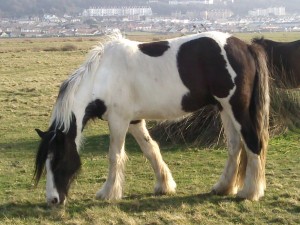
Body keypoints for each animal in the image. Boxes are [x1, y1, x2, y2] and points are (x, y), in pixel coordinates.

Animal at [34, 30, 270, 207]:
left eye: (58, 159)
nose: (53, 200)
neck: (103, 75)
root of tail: (245, 46)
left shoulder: (118, 120)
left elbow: (115, 156)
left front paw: (108, 193)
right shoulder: (134, 121)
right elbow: (150, 149)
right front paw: (164, 185)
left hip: (236, 108)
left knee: (253, 143)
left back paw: (250, 192)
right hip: (224, 108)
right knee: (234, 146)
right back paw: (224, 187)